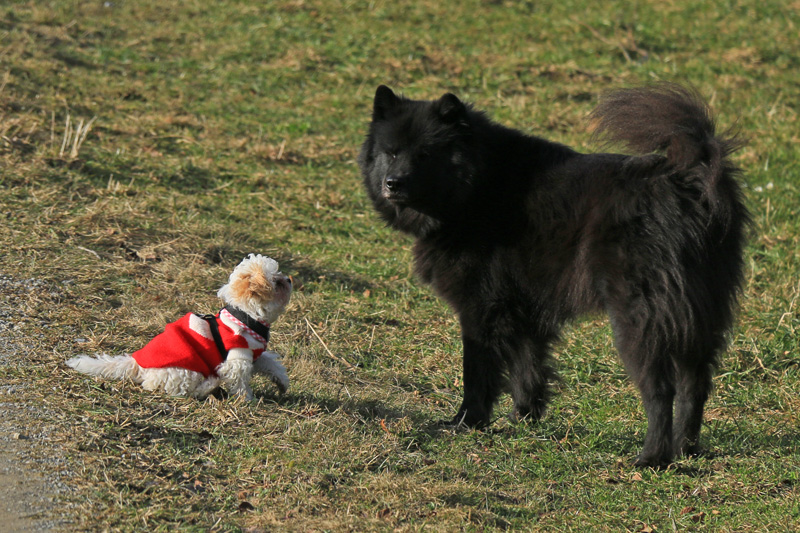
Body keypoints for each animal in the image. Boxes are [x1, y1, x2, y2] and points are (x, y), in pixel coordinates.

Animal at [65, 254, 290, 400]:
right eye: (278, 283)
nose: (289, 278)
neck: (244, 316)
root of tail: (137, 364)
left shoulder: (255, 353)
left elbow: (272, 364)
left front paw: (282, 383)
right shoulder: (238, 357)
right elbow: (240, 380)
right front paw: (248, 399)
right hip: (186, 371)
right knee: (184, 391)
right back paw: (210, 385)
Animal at [360, 83, 748, 466]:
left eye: (424, 155)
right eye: (390, 152)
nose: (393, 183)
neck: (478, 184)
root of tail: (688, 179)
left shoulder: (481, 308)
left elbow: (478, 372)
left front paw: (466, 422)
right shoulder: (522, 307)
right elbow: (527, 367)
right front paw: (523, 419)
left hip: (640, 315)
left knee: (660, 389)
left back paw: (651, 457)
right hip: (699, 314)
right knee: (695, 385)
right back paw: (686, 449)